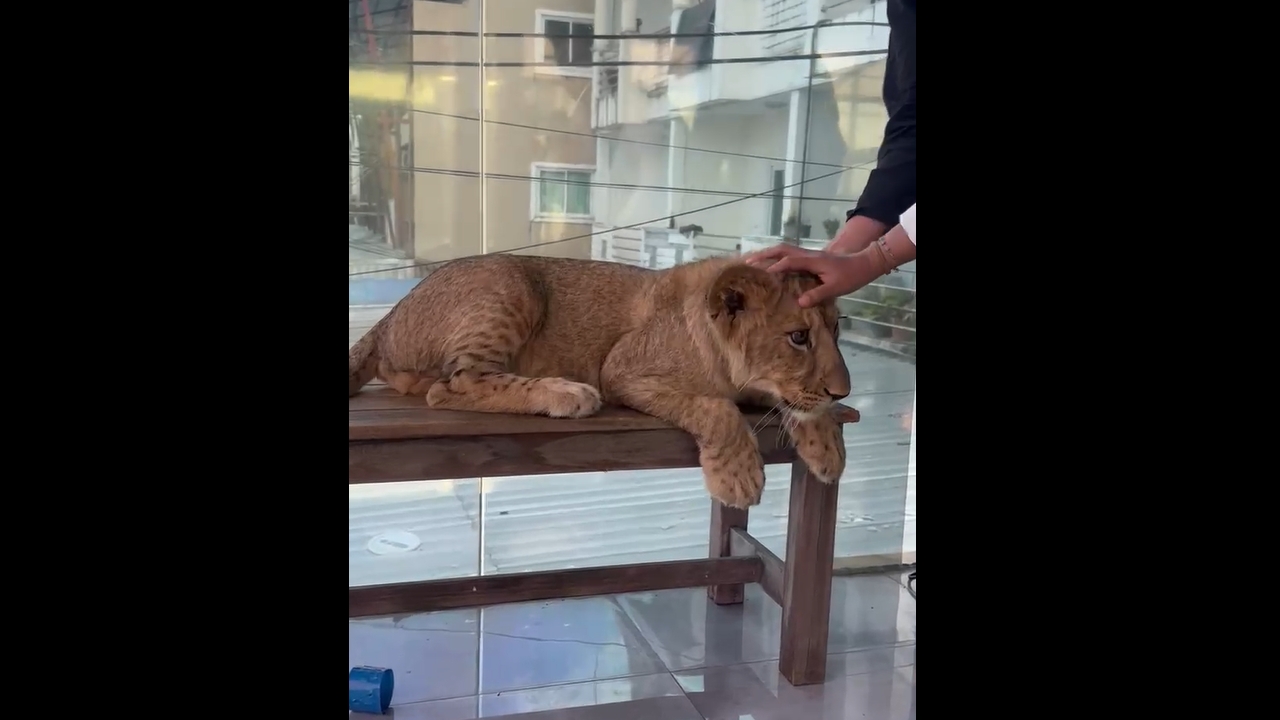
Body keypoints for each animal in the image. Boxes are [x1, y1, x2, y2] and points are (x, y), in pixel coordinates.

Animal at [348, 254, 851, 508]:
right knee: (453, 384)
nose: (844, 390)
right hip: (511, 281)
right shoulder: (623, 370)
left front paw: (827, 446)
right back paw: (565, 392)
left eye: (837, 329)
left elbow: (800, 404)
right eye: (798, 337)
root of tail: (388, 317)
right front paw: (739, 478)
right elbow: (716, 408)